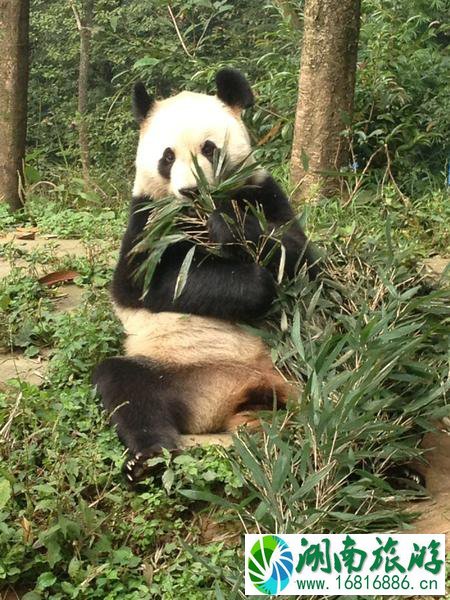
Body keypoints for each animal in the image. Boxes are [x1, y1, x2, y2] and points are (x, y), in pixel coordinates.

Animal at [94, 68, 320, 486]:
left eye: (209, 148)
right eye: (167, 156)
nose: (191, 191)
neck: (193, 216)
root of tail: (236, 396)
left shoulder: (261, 191)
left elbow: (302, 255)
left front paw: (228, 227)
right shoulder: (147, 219)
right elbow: (143, 286)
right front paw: (253, 285)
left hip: (297, 352)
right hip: (175, 369)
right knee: (126, 385)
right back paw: (147, 458)